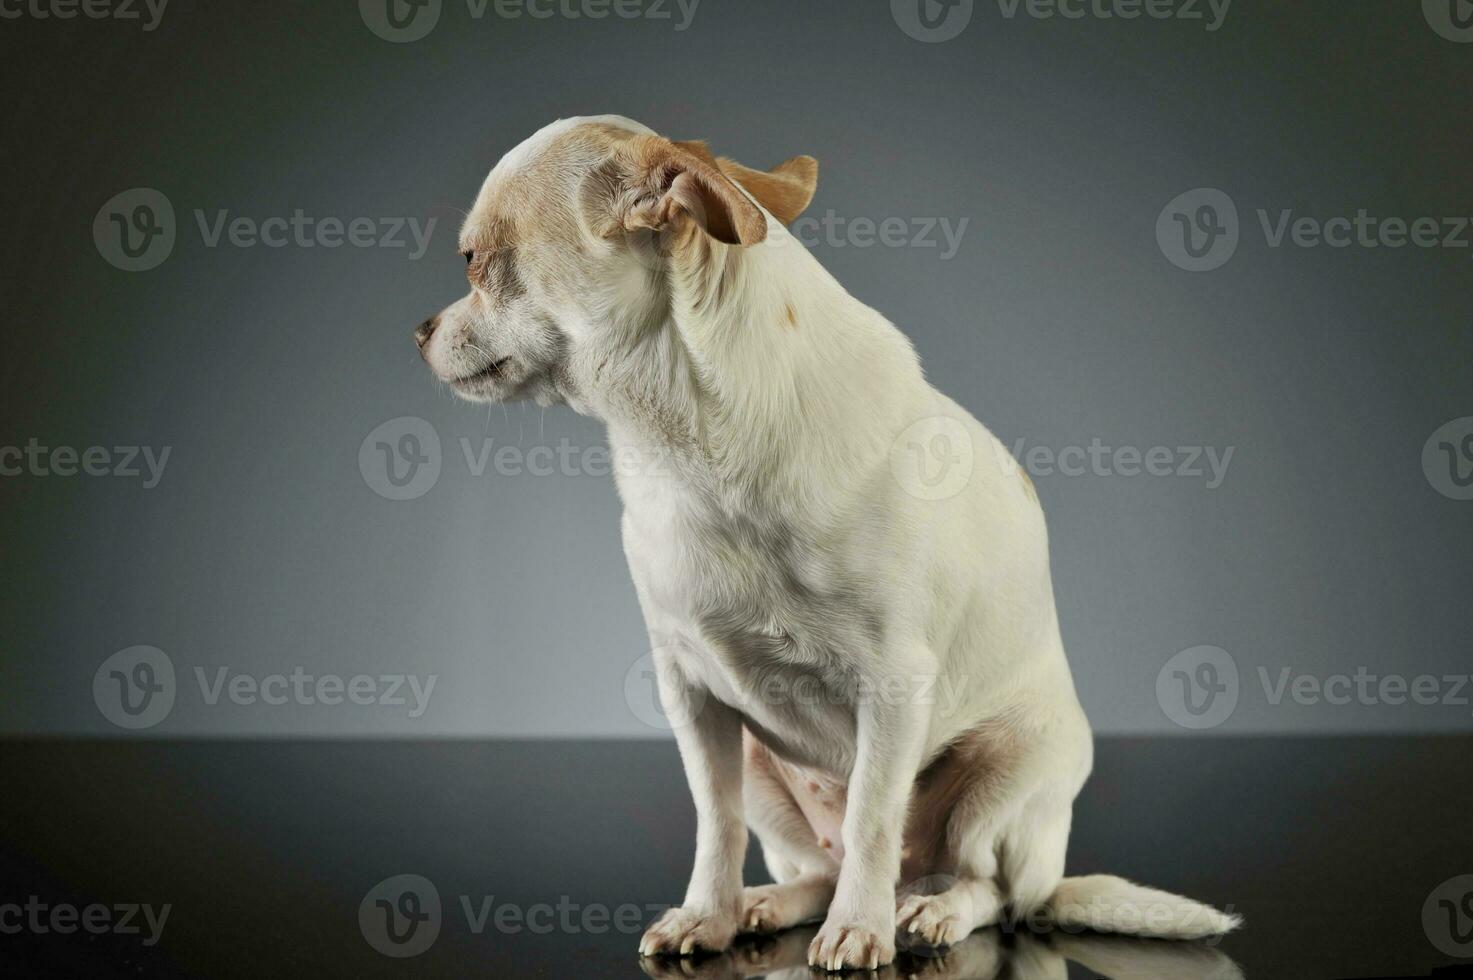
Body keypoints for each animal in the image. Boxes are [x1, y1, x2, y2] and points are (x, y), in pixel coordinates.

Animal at [418, 116, 1243, 972]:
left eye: (472, 260)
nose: (420, 331)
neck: (687, 451)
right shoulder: (693, 695)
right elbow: (715, 820)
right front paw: (705, 914)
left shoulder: (894, 688)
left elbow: (873, 817)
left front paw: (860, 928)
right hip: (763, 768)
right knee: (819, 863)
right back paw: (767, 903)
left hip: (1005, 776)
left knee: (988, 888)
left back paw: (926, 910)